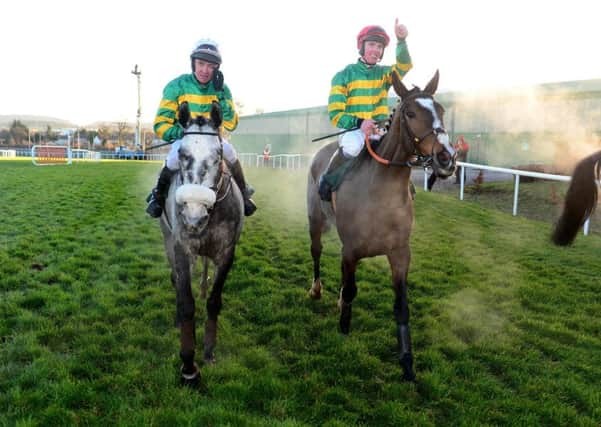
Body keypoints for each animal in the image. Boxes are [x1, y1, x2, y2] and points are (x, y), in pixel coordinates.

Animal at [308, 70, 458, 382]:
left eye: (441, 110)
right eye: (410, 113)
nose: (446, 157)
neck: (380, 190)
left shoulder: (400, 252)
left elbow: (401, 306)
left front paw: (407, 363)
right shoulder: (351, 249)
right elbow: (351, 290)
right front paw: (343, 330)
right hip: (315, 221)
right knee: (316, 252)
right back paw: (316, 289)